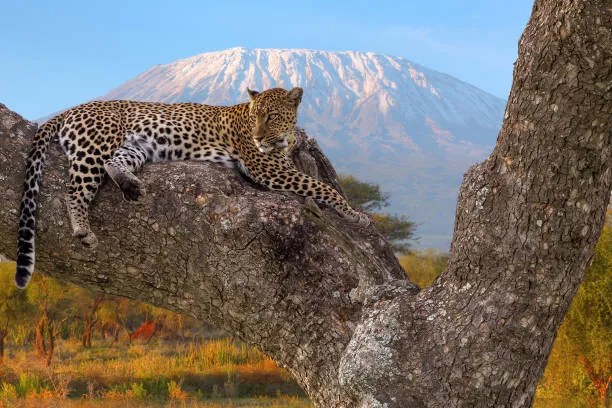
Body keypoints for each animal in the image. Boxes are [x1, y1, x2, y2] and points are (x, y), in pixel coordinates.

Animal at [15, 87, 368, 288]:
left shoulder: (281, 164)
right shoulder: (270, 169)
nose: (257, 136)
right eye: (256, 116)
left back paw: (131, 185)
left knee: (114, 163)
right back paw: (82, 229)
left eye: (270, 115)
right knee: (73, 190)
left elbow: (318, 182)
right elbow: (322, 187)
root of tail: (72, 109)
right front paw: (356, 215)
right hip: (95, 146)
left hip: (136, 147)